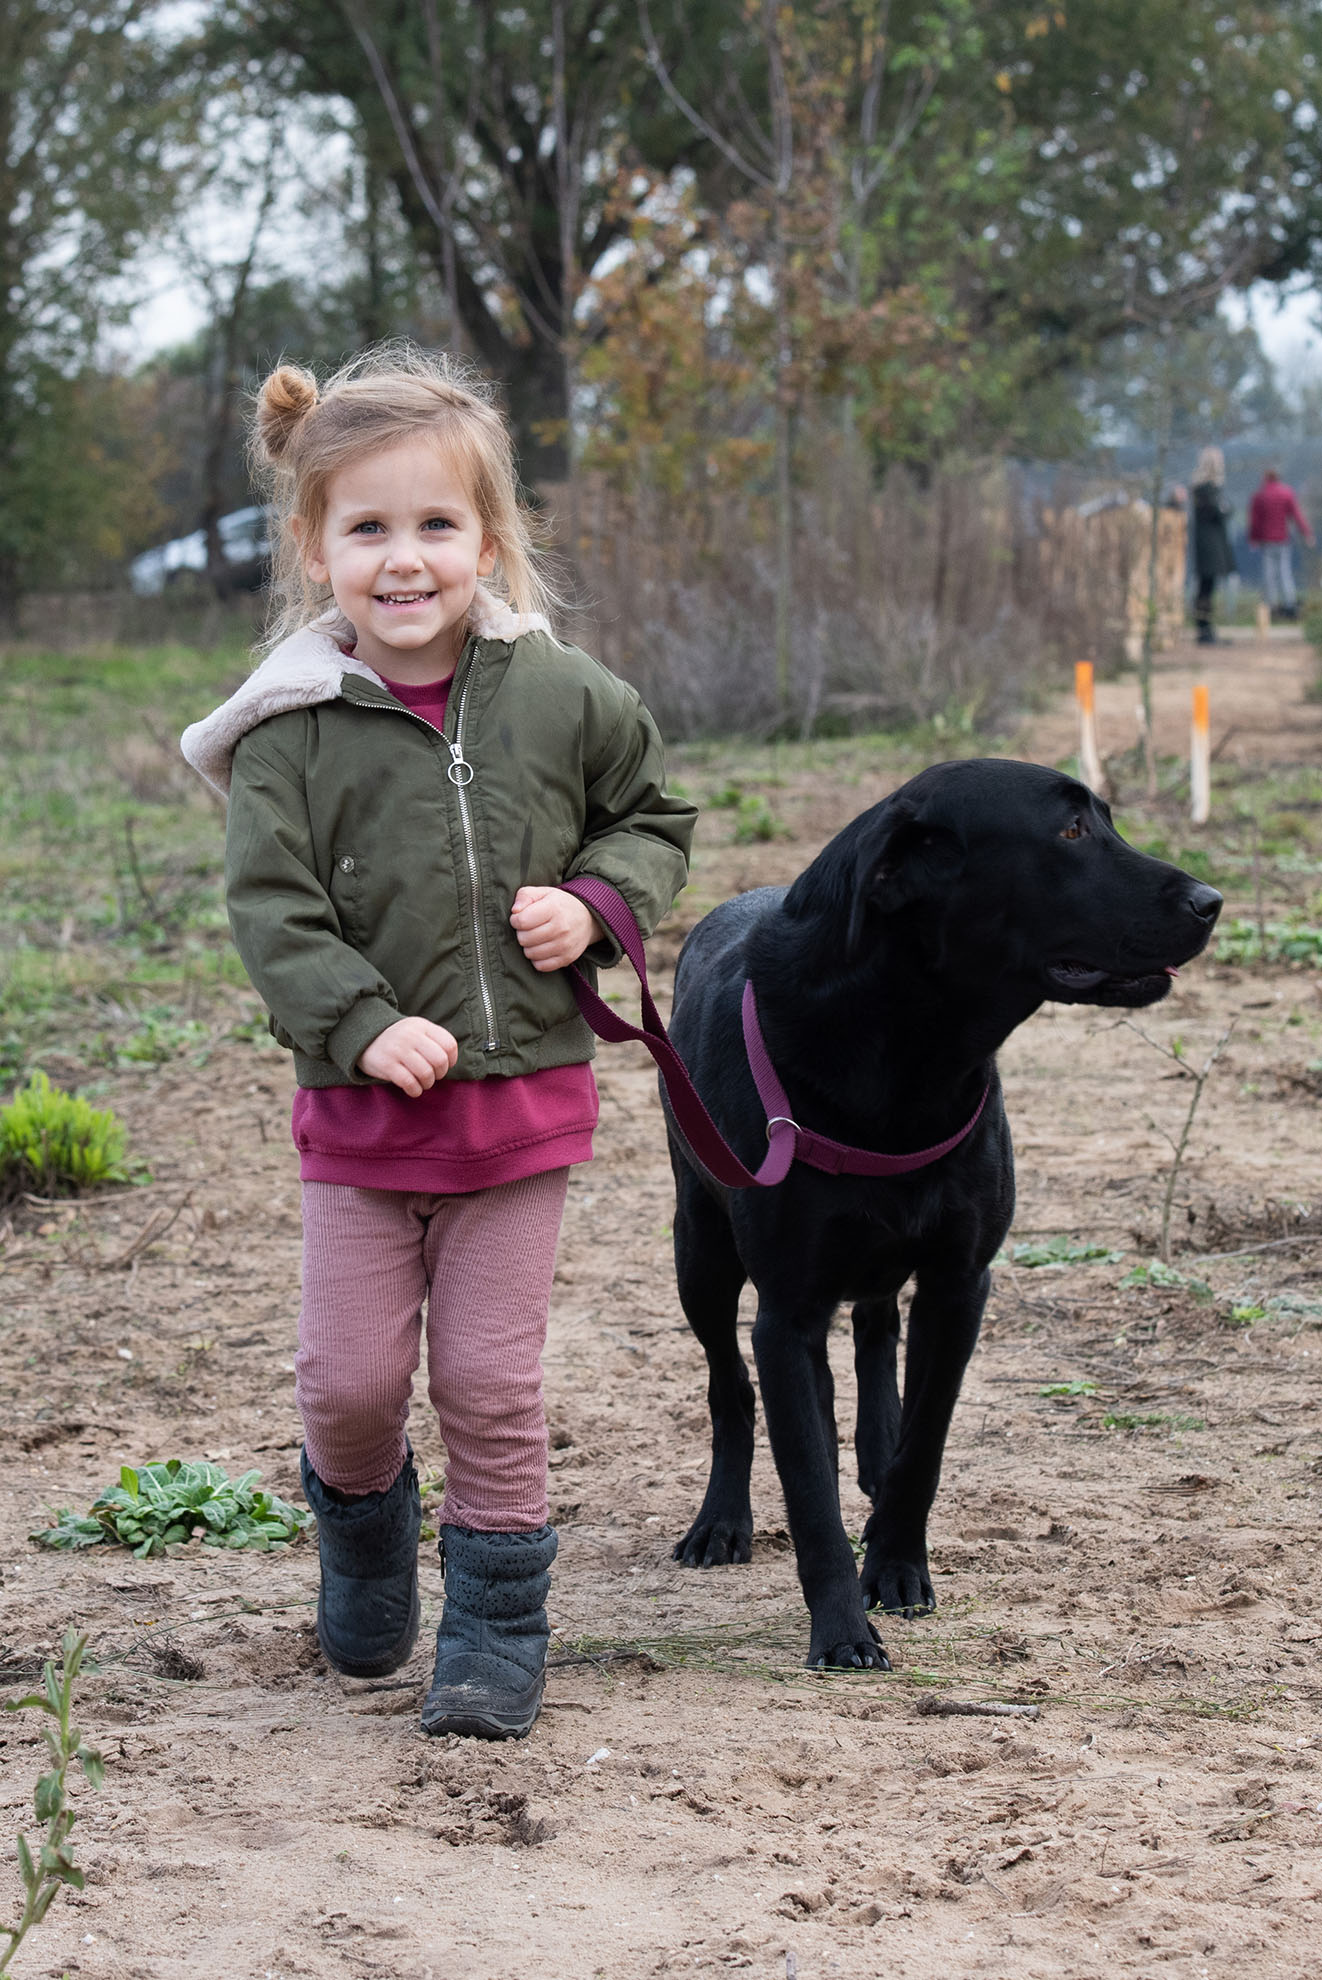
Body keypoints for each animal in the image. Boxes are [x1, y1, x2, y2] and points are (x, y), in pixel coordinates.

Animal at [664, 756, 1227, 1671]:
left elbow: (924, 1442)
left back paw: (870, 1450)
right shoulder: (785, 1311)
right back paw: (722, 1520)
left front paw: (895, 1565)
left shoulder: (961, 1282)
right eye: (1070, 831)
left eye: (1104, 818)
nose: (1212, 901)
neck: (909, 1052)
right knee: (731, 1386)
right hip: (701, 1255)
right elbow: (808, 1490)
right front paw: (841, 1629)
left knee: (874, 1334)